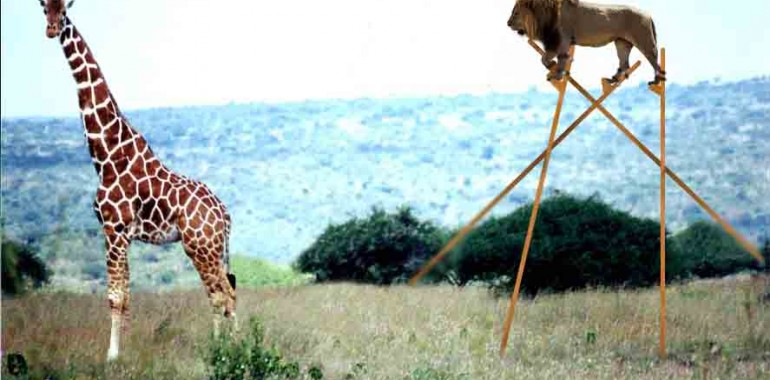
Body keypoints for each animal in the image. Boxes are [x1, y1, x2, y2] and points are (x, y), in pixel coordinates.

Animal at [39, 0, 236, 360]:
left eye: (64, 9)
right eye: (44, 7)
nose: (51, 29)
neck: (107, 153)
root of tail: (225, 215)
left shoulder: (113, 228)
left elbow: (115, 297)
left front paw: (111, 357)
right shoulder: (124, 234)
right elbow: (127, 296)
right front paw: (124, 353)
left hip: (200, 246)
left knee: (221, 294)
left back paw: (226, 351)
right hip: (212, 248)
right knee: (227, 290)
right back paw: (235, 344)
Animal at [508, 0, 664, 84]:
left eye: (515, 13)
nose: (508, 23)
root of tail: (648, 15)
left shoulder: (561, 39)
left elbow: (556, 58)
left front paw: (557, 74)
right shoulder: (557, 42)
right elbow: (546, 59)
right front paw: (553, 67)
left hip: (644, 40)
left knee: (654, 60)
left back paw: (657, 80)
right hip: (621, 43)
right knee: (624, 64)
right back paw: (613, 79)